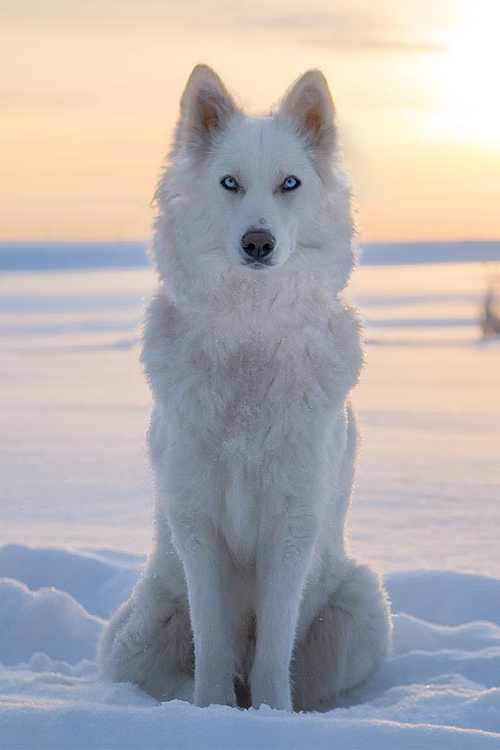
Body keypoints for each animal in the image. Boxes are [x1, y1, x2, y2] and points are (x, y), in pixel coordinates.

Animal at [97, 63, 390, 712]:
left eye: (290, 184)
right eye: (230, 183)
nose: (259, 243)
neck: (249, 339)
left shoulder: (293, 524)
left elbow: (273, 649)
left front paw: (271, 717)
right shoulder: (196, 524)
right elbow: (212, 639)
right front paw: (212, 714)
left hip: (362, 606)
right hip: (138, 631)